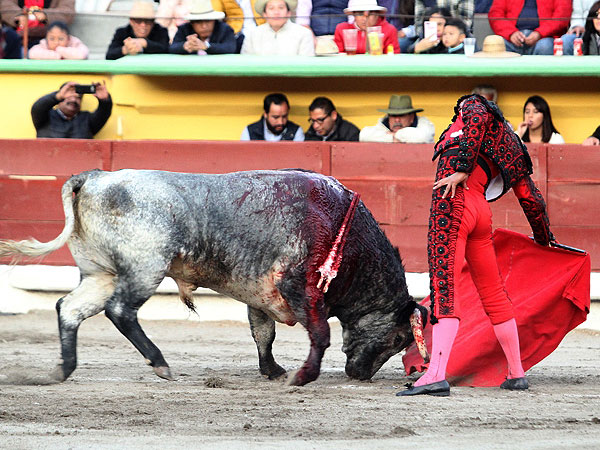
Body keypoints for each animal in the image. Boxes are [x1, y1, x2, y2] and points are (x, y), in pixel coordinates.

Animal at [0, 169, 428, 386]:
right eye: (399, 338)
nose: (361, 375)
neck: (342, 229)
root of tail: (94, 177)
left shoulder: (261, 294)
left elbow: (263, 333)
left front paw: (272, 371)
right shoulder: (299, 287)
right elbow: (320, 333)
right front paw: (302, 376)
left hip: (101, 272)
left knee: (69, 308)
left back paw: (62, 369)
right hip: (145, 266)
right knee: (120, 311)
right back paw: (160, 364)